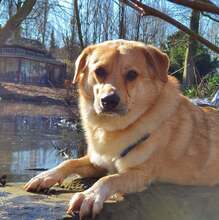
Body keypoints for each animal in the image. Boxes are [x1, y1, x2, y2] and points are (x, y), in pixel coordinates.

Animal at [24, 39, 219, 218]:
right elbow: (70, 162)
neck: (112, 128)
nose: (109, 100)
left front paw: (90, 195)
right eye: (99, 71)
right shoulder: (97, 162)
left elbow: (109, 179)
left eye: (132, 74)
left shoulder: (140, 174)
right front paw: (45, 176)